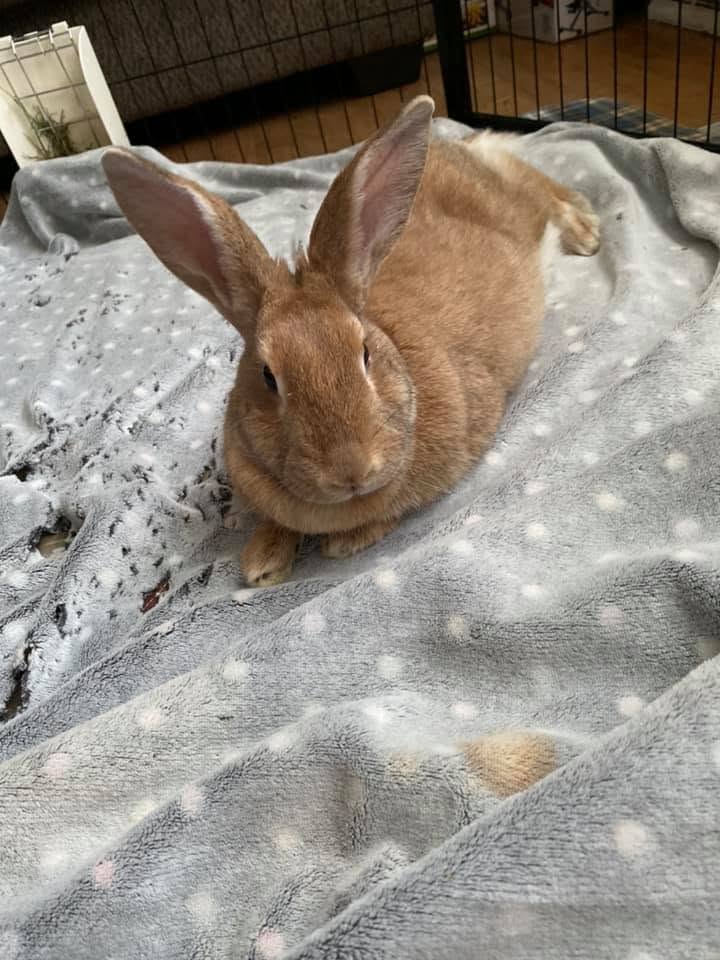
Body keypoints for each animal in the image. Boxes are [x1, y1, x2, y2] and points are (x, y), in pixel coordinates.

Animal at [102, 95, 599, 587]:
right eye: (268, 377)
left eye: (365, 353)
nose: (351, 471)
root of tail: (454, 148)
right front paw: (262, 562)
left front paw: (343, 543)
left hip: (515, 204)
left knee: (534, 184)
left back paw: (585, 230)